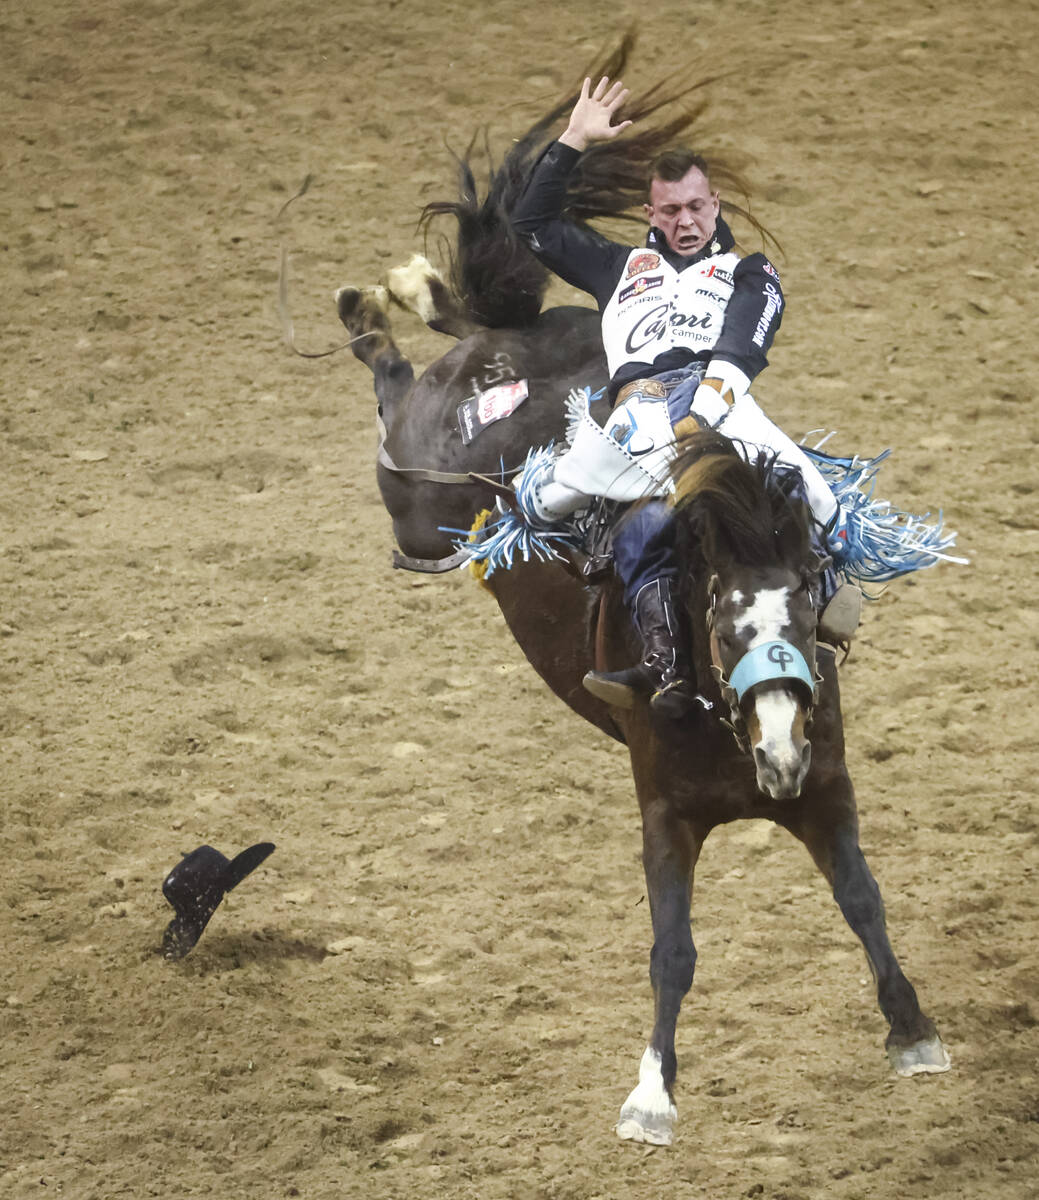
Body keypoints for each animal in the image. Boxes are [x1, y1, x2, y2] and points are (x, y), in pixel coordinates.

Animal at [319, 44, 950, 1142]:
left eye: (804, 609)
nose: (777, 751)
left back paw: (409, 293)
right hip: (422, 498)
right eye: (719, 620)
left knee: (463, 315)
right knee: (399, 384)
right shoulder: (661, 812)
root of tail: (519, 356)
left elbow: (863, 900)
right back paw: (374, 311)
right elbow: (673, 948)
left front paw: (911, 1031)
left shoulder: (826, 788)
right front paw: (651, 1093)